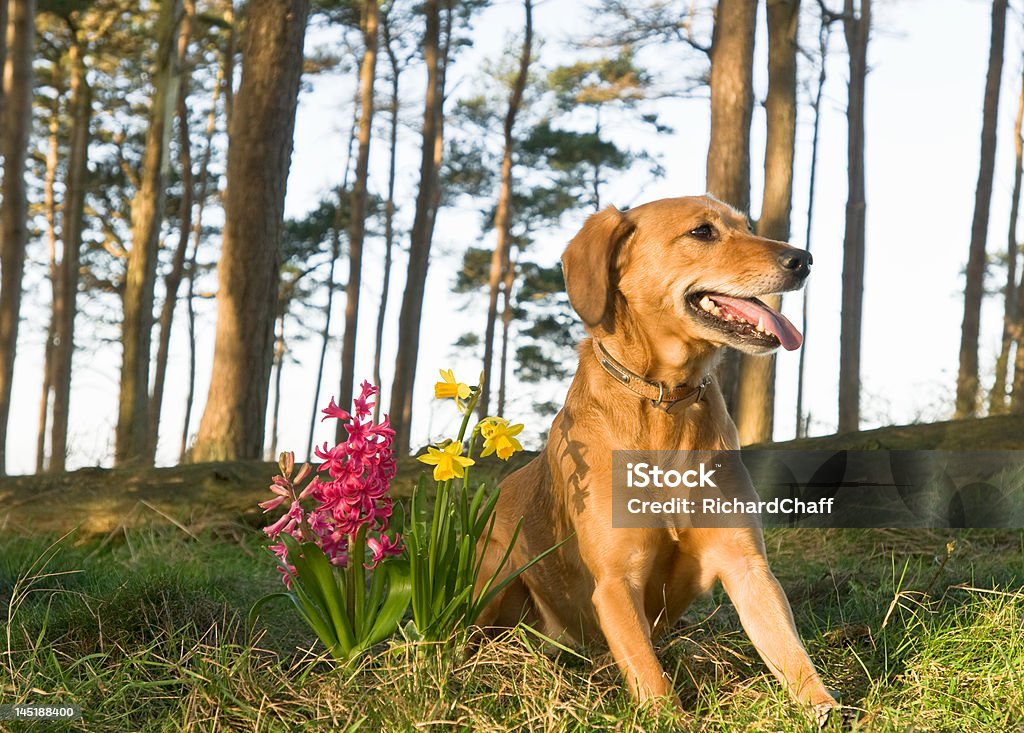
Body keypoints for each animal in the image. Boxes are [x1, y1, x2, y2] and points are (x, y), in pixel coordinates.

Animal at [475, 193, 843, 720]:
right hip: (491, 583)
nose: (804, 259)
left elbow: (788, 648)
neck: (666, 403)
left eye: (748, 227)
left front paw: (824, 705)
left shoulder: (747, 564)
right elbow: (650, 675)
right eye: (702, 232)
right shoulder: (615, 582)